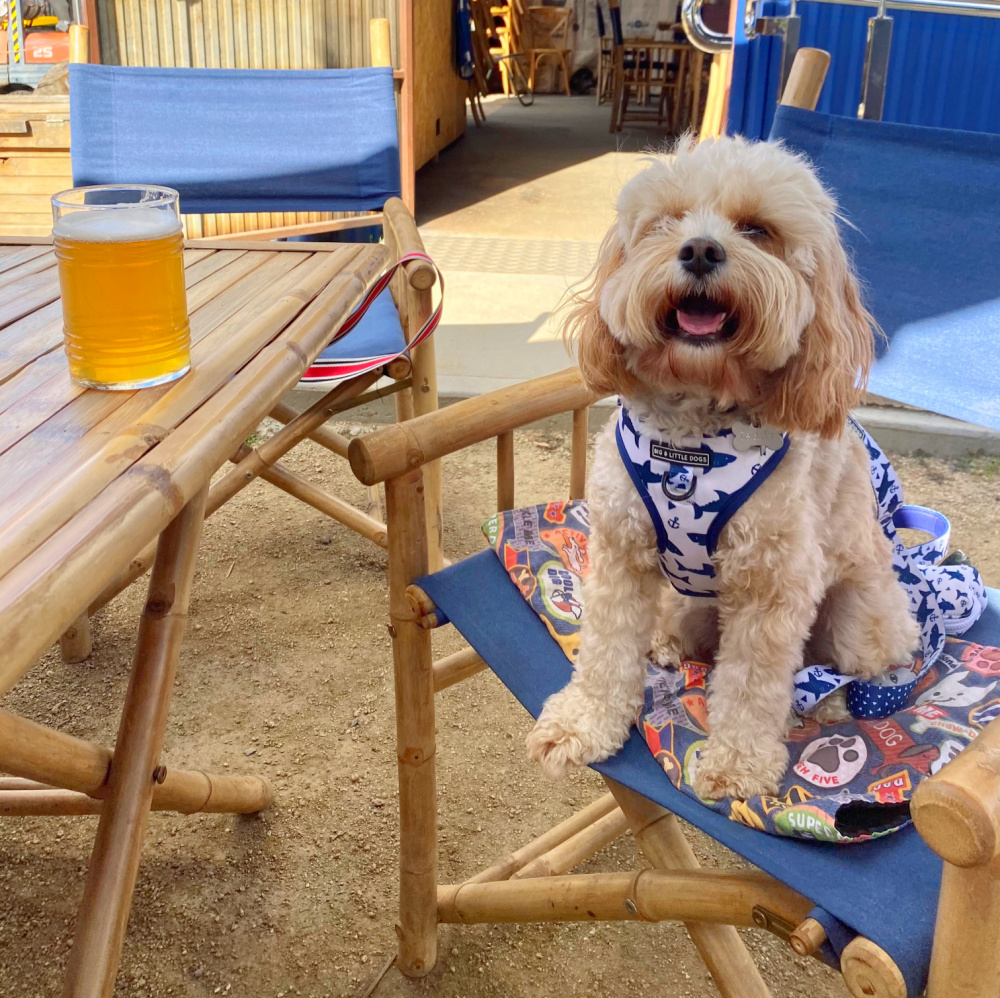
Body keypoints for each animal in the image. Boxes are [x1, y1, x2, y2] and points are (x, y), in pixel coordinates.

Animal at [524, 135, 920, 804]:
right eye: (666, 222)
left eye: (757, 229)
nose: (701, 249)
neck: (694, 437)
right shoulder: (620, 551)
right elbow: (605, 648)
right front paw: (585, 723)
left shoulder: (773, 584)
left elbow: (753, 685)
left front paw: (739, 762)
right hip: (692, 598)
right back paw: (668, 640)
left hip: (860, 617)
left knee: (842, 666)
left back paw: (824, 706)